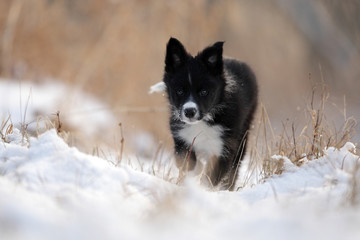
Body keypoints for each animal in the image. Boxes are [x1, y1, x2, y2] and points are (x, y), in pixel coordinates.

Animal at [152, 38, 258, 191]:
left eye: (204, 92)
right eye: (179, 91)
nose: (189, 112)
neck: (203, 122)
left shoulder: (225, 147)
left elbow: (212, 176)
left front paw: (204, 190)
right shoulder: (181, 138)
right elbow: (187, 163)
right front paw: (194, 174)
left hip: (243, 135)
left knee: (234, 167)